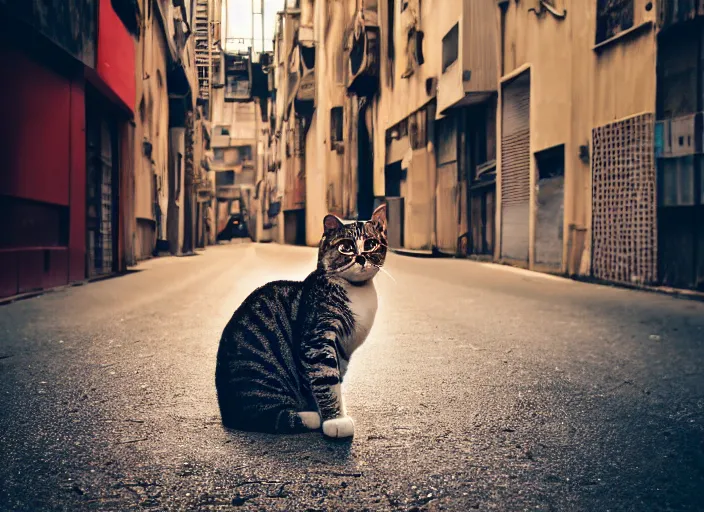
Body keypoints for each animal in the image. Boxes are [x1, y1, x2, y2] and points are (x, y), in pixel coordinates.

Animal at [216, 203, 388, 436]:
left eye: (371, 244)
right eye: (345, 247)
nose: (361, 258)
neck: (357, 290)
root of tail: (226, 410)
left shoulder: (341, 351)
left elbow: (332, 381)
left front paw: (335, 413)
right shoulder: (317, 338)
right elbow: (325, 380)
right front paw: (335, 421)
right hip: (260, 378)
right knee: (265, 416)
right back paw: (309, 417)